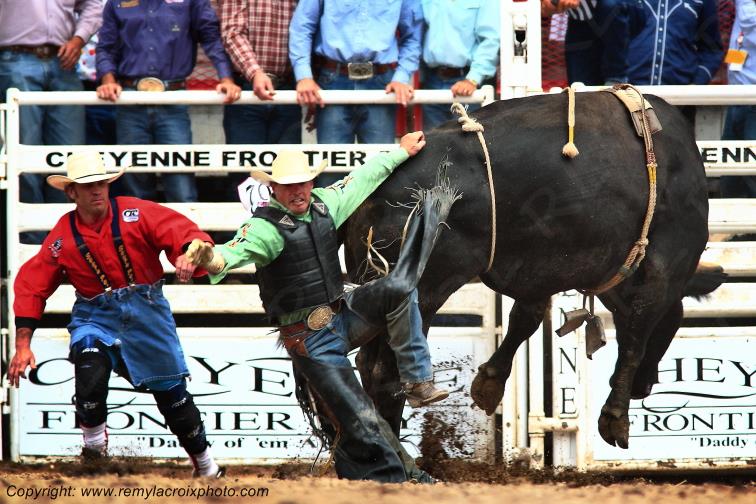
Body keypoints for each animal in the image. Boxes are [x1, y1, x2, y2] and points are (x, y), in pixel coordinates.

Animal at [341, 91, 722, 450]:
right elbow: (636, 338)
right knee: (386, 373)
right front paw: (615, 418)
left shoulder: (544, 268)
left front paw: (489, 382)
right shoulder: (664, 271)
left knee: (367, 364)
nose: (646, 386)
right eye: (675, 325)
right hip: (425, 291)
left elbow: (526, 318)